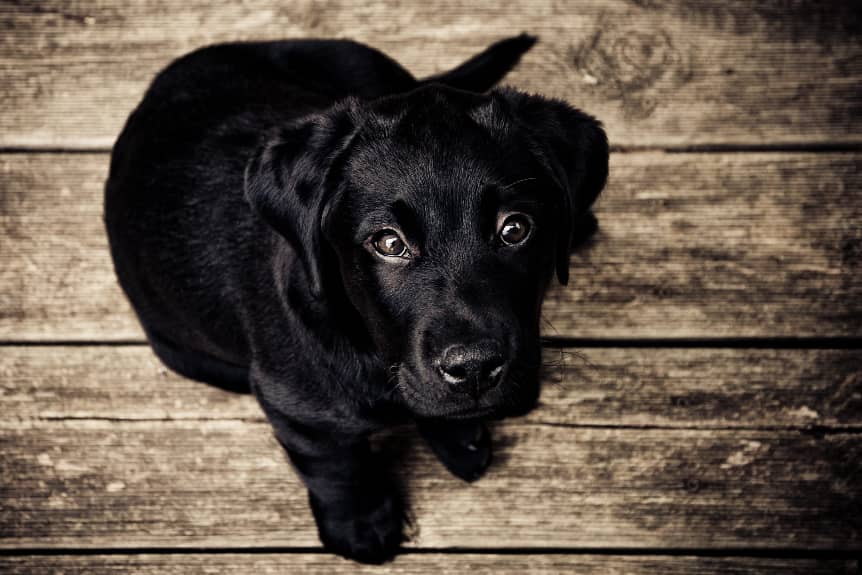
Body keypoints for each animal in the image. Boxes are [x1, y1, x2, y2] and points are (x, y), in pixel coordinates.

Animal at [104, 33, 612, 564]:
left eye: (515, 229)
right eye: (388, 243)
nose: (474, 369)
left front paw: (456, 434)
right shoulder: (294, 407)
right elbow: (335, 465)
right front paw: (361, 523)